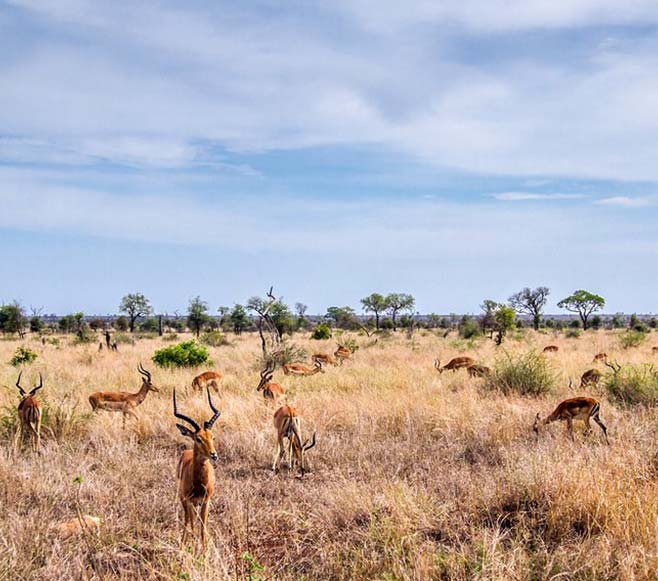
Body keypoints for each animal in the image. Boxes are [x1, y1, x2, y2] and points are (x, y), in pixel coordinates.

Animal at [172, 388, 220, 552]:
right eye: (198, 438)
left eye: (212, 436)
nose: (214, 454)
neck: (199, 483)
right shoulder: (189, 501)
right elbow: (192, 526)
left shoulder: (206, 501)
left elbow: (203, 529)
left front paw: (204, 552)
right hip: (184, 500)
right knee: (188, 521)